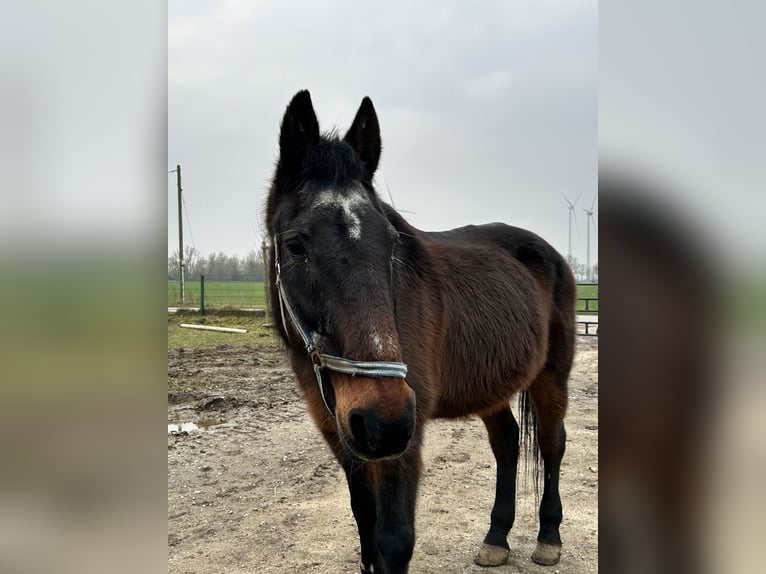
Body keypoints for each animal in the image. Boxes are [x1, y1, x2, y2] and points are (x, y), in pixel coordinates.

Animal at [268, 91, 576, 574]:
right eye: (296, 246)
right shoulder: (342, 434)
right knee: (507, 443)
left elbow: (395, 540)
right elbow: (365, 522)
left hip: (551, 377)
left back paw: (548, 537)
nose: (384, 417)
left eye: (392, 243)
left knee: (551, 443)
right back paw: (496, 539)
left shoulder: (403, 444)